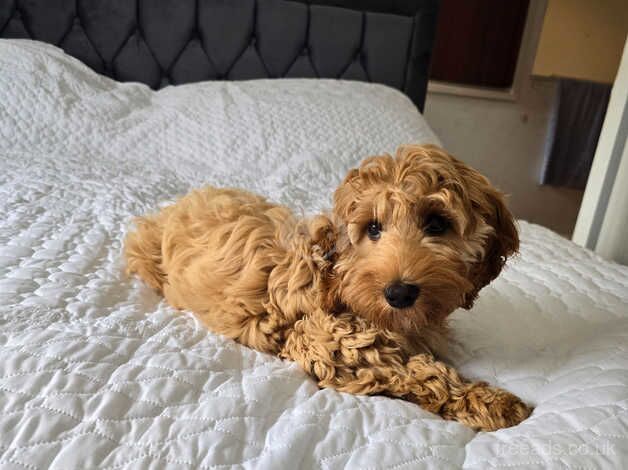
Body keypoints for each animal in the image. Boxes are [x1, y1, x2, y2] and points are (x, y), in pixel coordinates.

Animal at [125, 145, 532, 432]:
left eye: (436, 224)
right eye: (373, 228)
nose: (399, 294)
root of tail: (178, 203)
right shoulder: (324, 341)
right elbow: (418, 372)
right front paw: (491, 402)